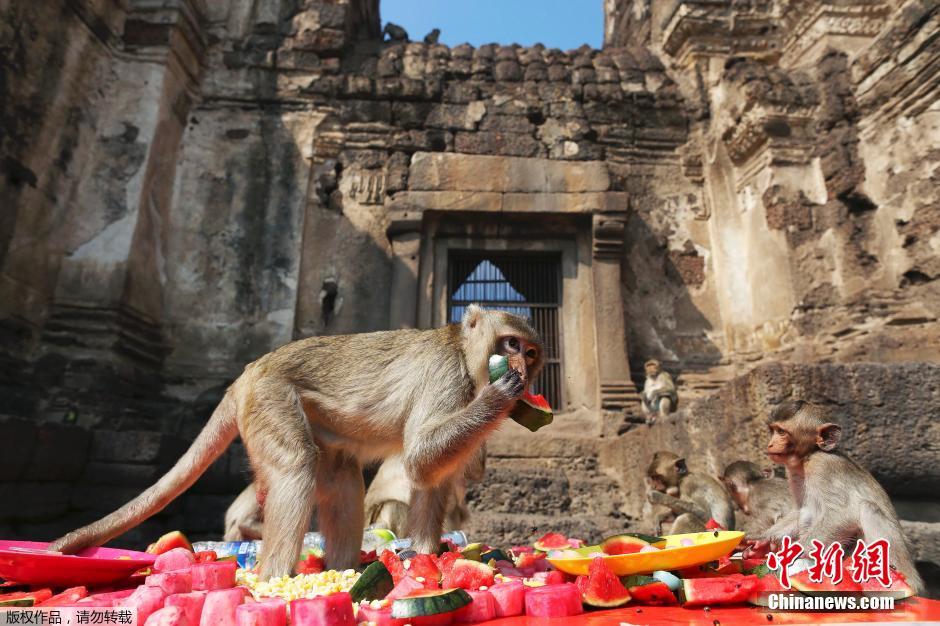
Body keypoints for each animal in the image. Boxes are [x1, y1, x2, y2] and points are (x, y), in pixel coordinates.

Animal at [51, 304, 548, 576]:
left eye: (530, 352)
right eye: (509, 345)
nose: (523, 372)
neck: (466, 358)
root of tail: (249, 372)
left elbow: (430, 477)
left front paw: (425, 554)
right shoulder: (447, 376)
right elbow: (421, 458)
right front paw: (498, 398)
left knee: (341, 476)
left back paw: (345, 569)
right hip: (271, 398)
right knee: (295, 466)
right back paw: (276, 577)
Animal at [756, 398, 924, 592]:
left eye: (782, 432)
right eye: (773, 430)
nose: (770, 444)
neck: (808, 457)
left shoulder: (824, 466)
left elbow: (842, 515)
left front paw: (789, 554)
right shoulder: (794, 473)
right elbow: (799, 511)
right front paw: (762, 543)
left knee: (868, 508)